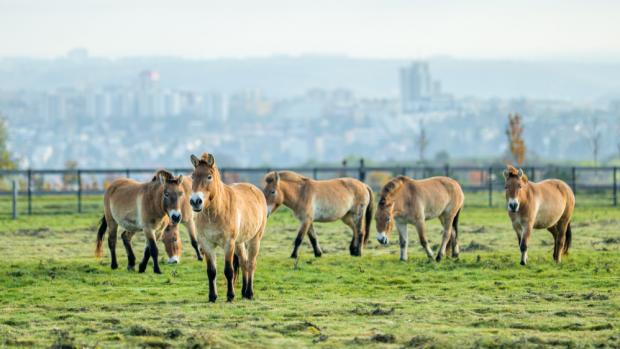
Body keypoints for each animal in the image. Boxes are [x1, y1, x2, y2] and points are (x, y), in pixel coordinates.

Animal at [189, 152, 266, 302]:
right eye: (193, 176)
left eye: (209, 176)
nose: (195, 201)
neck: (216, 211)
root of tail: (256, 190)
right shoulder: (206, 244)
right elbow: (211, 271)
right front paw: (212, 296)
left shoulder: (228, 243)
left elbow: (228, 271)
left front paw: (230, 296)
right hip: (239, 243)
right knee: (243, 262)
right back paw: (244, 292)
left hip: (254, 239)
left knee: (251, 264)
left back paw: (249, 293)